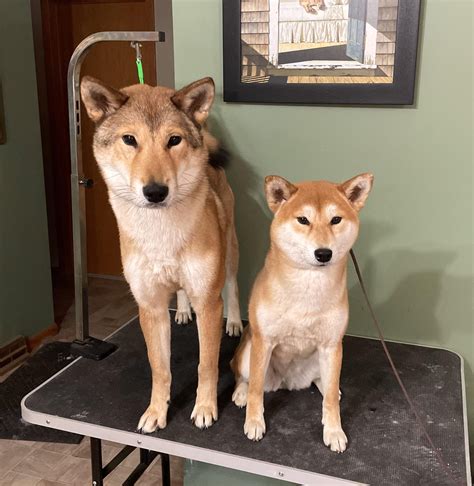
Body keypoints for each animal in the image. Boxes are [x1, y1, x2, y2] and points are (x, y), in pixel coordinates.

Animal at [81, 76, 243, 432]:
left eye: (174, 140)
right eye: (130, 140)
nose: (155, 192)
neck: (161, 236)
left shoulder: (209, 302)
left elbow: (206, 365)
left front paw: (205, 408)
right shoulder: (150, 306)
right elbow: (160, 368)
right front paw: (156, 411)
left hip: (230, 250)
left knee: (234, 284)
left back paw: (236, 321)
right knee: (180, 291)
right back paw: (181, 311)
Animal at [231, 172, 374, 452]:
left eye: (336, 219)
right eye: (303, 220)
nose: (323, 253)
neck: (308, 285)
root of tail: (289, 381)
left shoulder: (332, 344)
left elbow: (330, 401)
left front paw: (334, 430)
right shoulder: (263, 342)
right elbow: (256, 390)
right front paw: (254, 422)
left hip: (326, 358)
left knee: (325, 383)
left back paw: (331, 387)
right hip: (248, 352)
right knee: (245, 377)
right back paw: (240, 393)